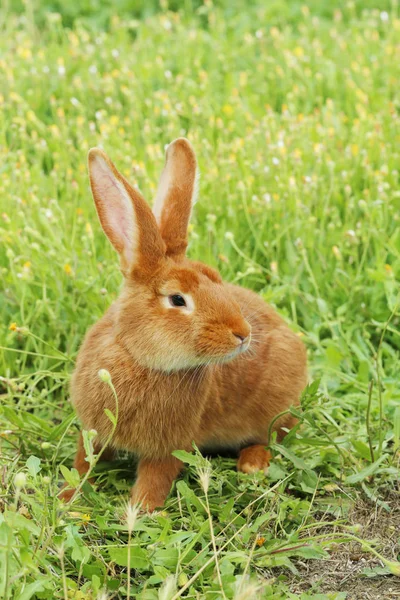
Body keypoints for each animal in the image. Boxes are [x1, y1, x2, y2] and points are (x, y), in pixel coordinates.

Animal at [61, 138, 308, 508]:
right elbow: (83, 460)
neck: (139, 358)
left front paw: (139, 510)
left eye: (216, 277)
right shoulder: (93, 429)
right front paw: (67, 497)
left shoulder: (168, 446)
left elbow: (155, 478)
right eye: (178, 300)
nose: (242, 334)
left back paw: (251, 463)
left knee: (274, 435)